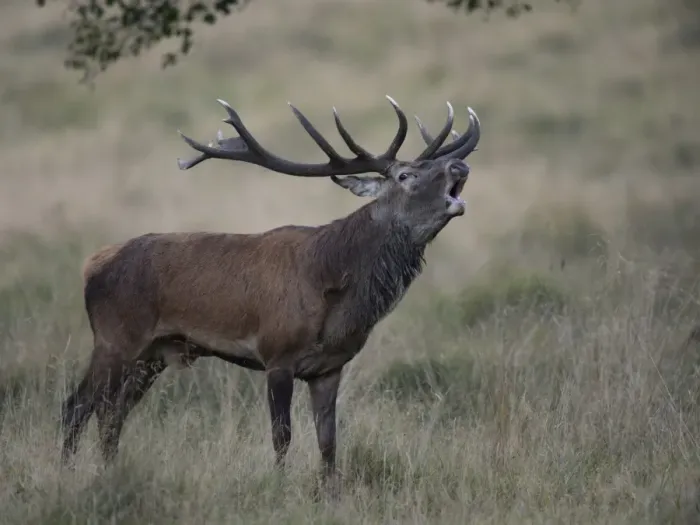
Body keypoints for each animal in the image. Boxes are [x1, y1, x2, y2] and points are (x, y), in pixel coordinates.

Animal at [60, 95, 481, 481]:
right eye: (405, 176)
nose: (459, 165)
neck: (334, 293)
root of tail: (92, 265)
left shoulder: (329, 368)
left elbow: (328, 442)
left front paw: (329, 494)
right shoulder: (277, 354)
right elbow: (282, 435)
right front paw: (279, 486)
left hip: (153, 354)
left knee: (112, 413)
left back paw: (111, 471)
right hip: (116, 339)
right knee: (76, 406)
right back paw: (66, 471)